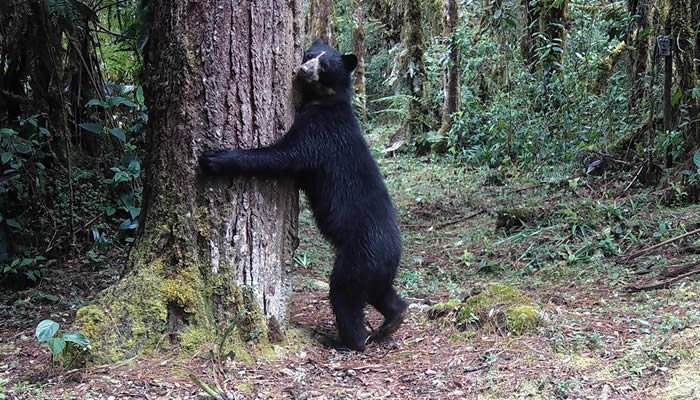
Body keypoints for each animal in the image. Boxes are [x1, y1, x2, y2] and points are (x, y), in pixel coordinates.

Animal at [199, 39, 406, 352]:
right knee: (381, 294)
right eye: (310, 55)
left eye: (325, 64)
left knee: (345, 293)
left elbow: (282, 156)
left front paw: (215, 159)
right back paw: (394, 319)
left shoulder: (319, 132)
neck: (325, 100)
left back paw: (349, 340)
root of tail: (394, 250)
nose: (303, 69)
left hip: (359, 255)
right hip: (377, 267)